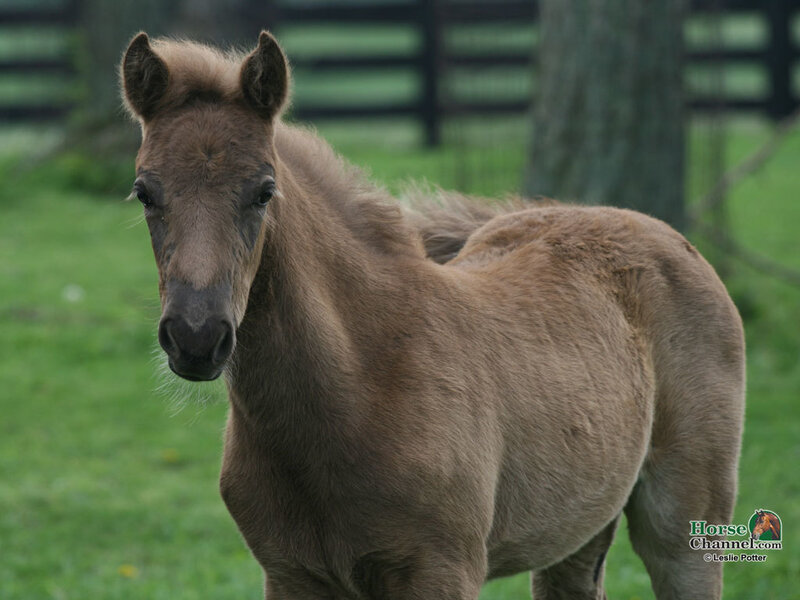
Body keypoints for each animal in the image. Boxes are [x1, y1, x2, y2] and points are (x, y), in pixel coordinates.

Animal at [120, 30, 746, 600]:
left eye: (264, 191)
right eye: (144, 192)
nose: (196, 337)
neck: (360, 389)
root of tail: (649, 226)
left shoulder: (439, 571)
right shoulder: (291, 574)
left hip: (685, 525)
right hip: (580, 523)